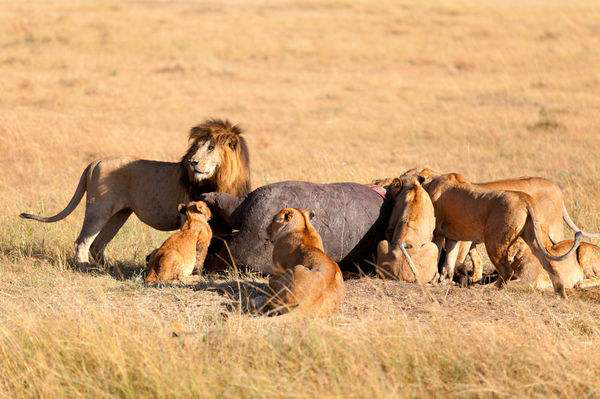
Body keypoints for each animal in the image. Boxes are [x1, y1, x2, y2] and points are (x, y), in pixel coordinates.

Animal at [19, 119, 251, 268]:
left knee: (97, 244)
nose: (193, 162)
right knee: (83, 241)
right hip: (98, 209)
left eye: (210, 147)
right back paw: (83, 267)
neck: (223, 177)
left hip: (119, 214)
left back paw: (108, 267)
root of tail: (96, 162)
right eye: (196, 148)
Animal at [418, 173, 580, 298]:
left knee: (507, 271)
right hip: (533, 236)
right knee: (548, 262)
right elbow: (449, 262)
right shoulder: (453, 237)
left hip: (494, 241)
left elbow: (438, 255)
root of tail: (525, 200)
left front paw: (433, 281)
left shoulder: (438, 233)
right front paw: (445, 281)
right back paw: (560, 293)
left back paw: (488, 288)